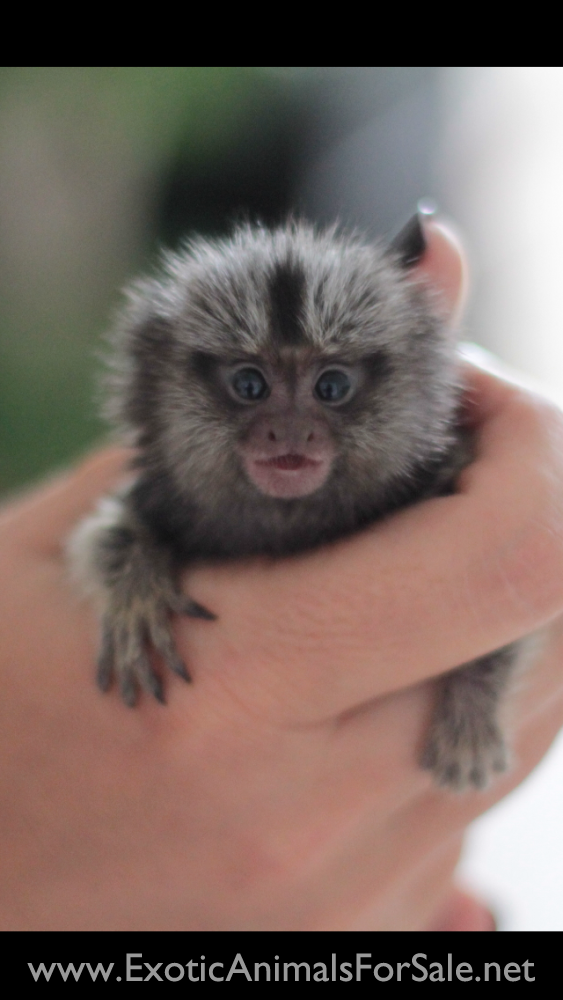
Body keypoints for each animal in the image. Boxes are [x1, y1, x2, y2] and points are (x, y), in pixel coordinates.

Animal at [69, 213, 522, 791]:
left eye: (331, 386)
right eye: (249, 384)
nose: (288, 432)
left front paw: (470, 712)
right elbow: (107, 532)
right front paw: (135, 589)